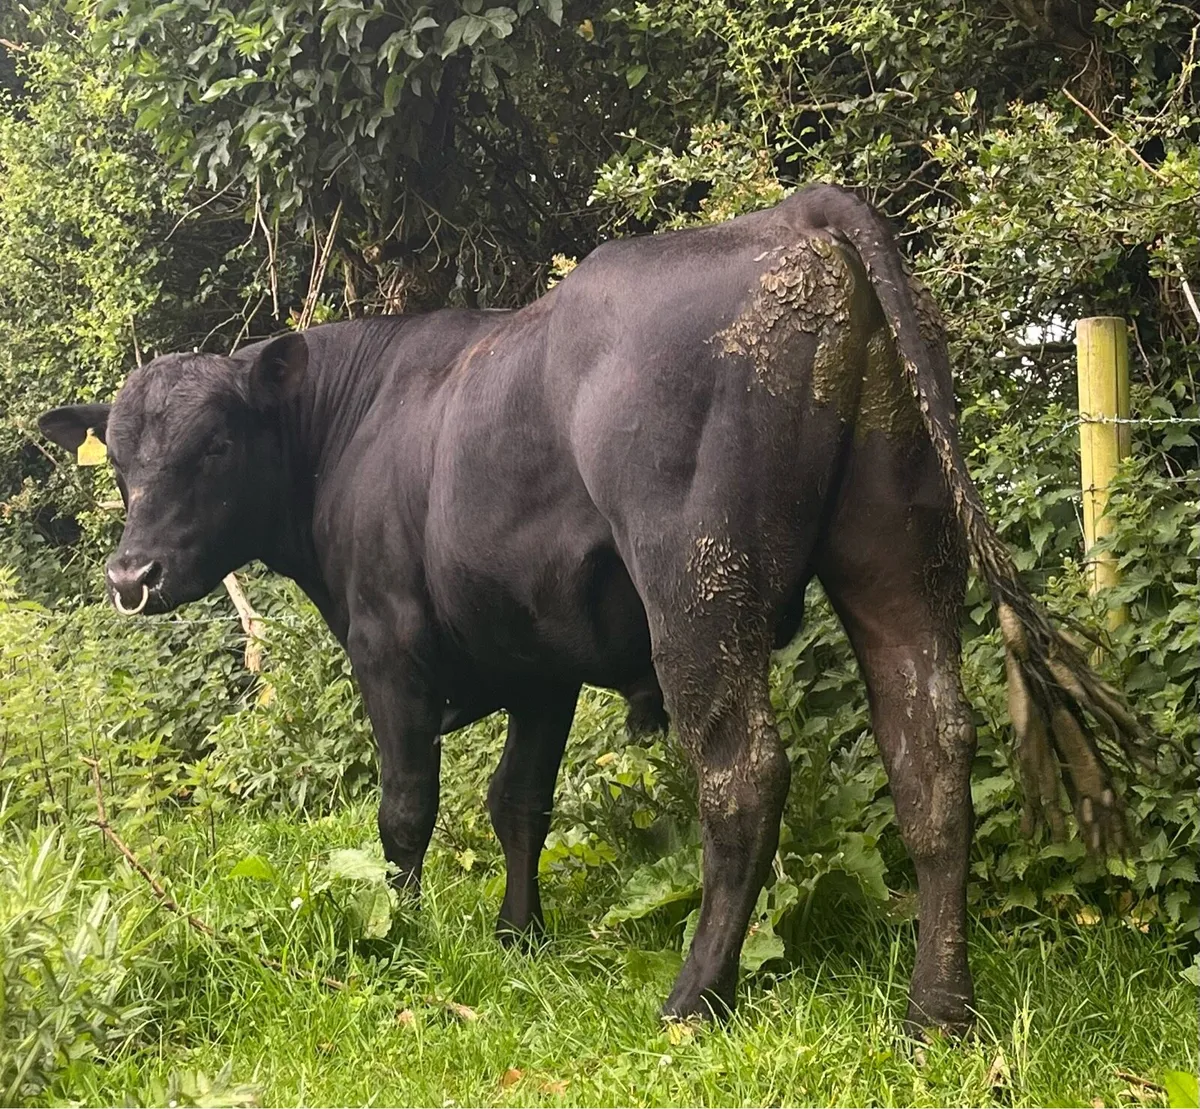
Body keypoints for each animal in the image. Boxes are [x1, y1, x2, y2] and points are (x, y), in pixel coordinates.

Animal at [39, 183, 1145, 1034]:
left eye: (216, 443)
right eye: (122, 460)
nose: (129, 576)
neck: (356, 424)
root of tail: (798, 212)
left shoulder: (387, 645)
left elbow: (406, 806)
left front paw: (401, 931)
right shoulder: (538, 659)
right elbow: (518, 800)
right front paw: (518, 934)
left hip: (697, 579)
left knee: (744, 769)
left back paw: (696, 996)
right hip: (897, 547)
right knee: (932, 749)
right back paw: (937, 1011)